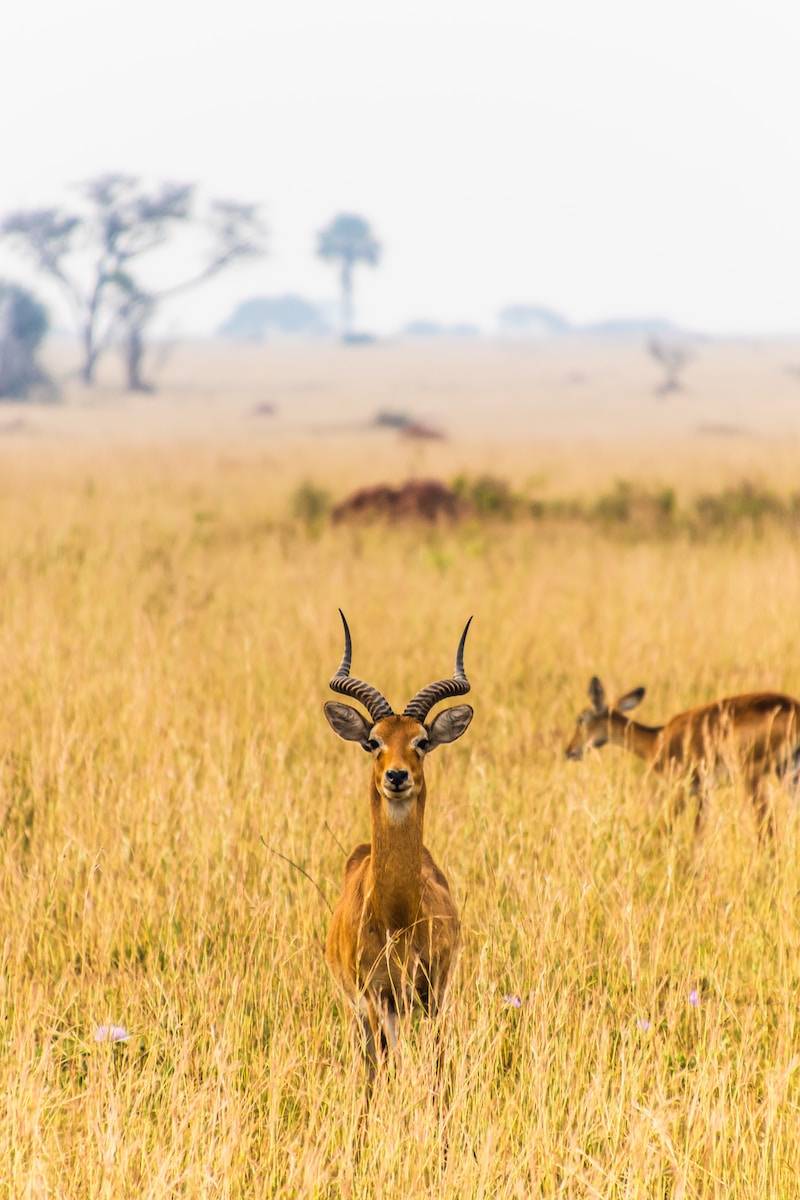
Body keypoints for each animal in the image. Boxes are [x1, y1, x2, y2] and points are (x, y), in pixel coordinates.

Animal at [321, 609, 472, 1080]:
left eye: (421, 741)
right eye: (374, 742)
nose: (397, 776)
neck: (398, 917)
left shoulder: (435, 994)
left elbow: (439, 1065)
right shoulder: (374, 1000)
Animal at [563, 676, 800, 835]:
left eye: (581, 718)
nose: (570, 750)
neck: (657, 740)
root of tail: (793, 707)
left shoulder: (681, 789)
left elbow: (664, 828)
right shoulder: (703, 793)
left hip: (754, 777)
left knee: (767, 830)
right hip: (788, 773)